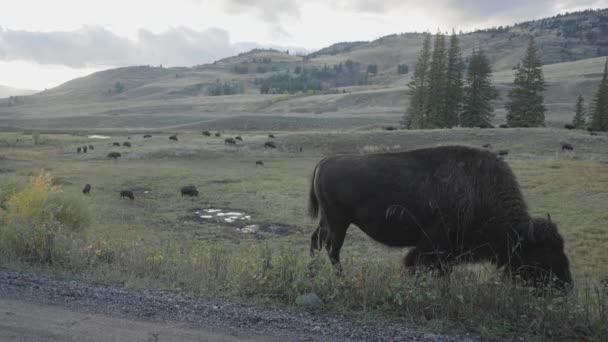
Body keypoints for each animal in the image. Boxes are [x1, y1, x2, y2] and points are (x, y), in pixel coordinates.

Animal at [312, 146, 572, 290]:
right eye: (542, 253)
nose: (565, 286)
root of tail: (325, 161)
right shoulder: (434, 246)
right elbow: (424, 267)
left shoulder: (443, 252)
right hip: (339, 222)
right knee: (333, 249)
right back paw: (342, 280)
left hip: (328, 221)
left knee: (317, 241)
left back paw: (312, 271)